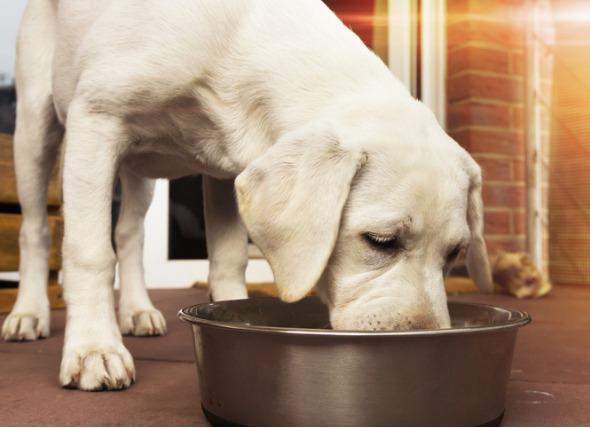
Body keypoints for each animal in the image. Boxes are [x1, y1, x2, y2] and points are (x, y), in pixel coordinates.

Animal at [1, 0, 494, 390]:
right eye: (380, 241)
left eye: (454, 254)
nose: (425, 339)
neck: (238, 42)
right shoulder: (96, 118)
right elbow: (88, 253)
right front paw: (93, 350)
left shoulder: (225, 171)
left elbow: (228, 259)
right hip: (37, 128)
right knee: (35, 230)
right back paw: (29, 314)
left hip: (139, 171)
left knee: (129, 235)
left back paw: (138, 310)